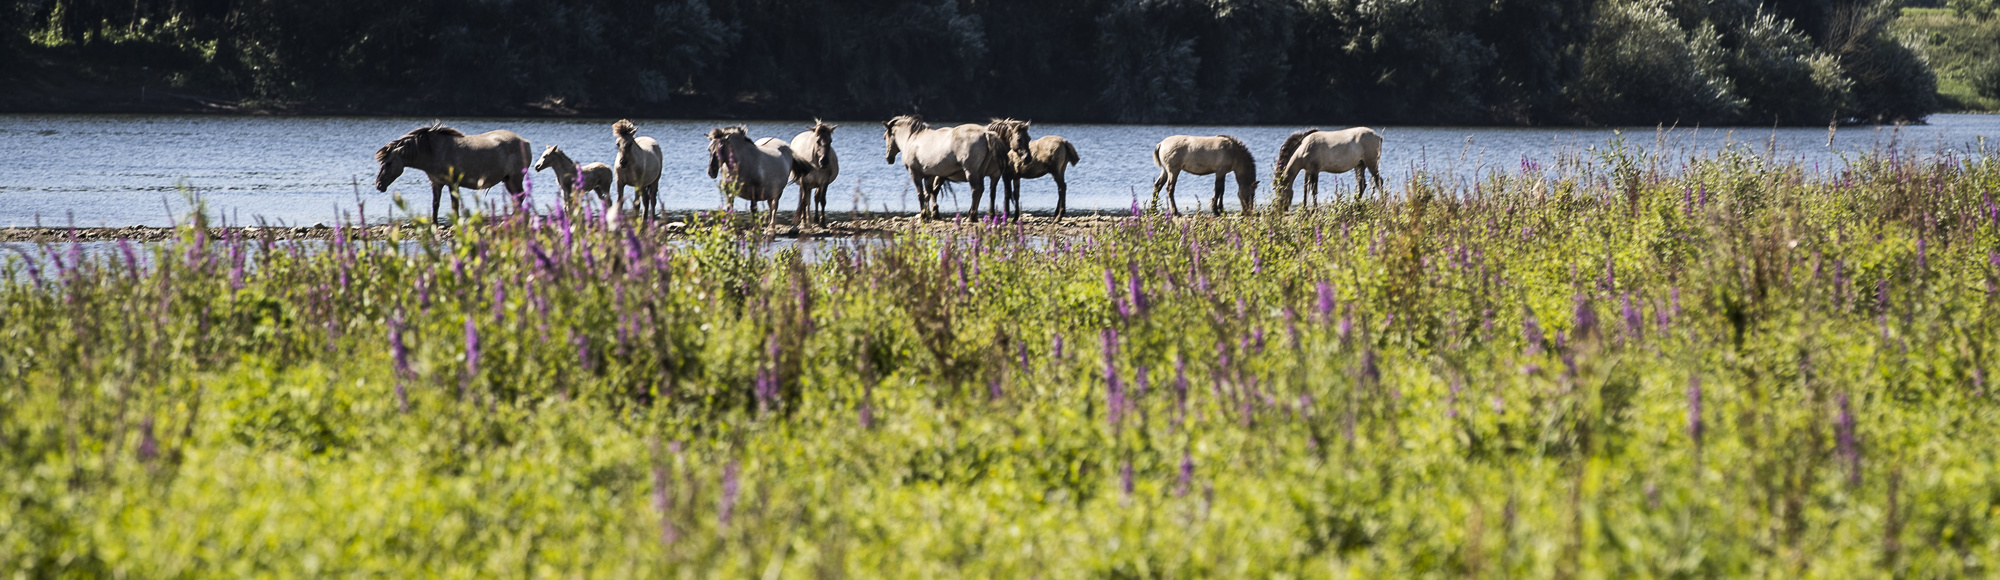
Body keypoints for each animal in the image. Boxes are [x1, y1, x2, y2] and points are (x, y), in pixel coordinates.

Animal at [374, 121, 532, 223]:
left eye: (388, 162)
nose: (379, 185)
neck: (433, 151)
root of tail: (525, 142)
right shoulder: (436, 183)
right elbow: (435, 204)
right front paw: (434, 224)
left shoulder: (453, 183)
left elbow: (454, 206)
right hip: (507, 180)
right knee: (518, 197)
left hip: (515, 178)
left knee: (520, 196)